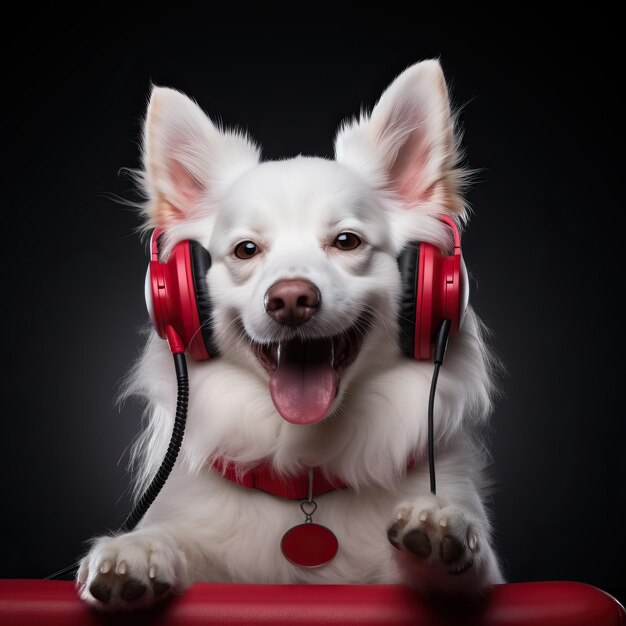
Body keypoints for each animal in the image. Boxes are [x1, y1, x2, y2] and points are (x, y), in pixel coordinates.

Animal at [77, 59, 502, 608]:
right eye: (246, 250)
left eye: (347, 241)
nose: (291, 300)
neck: (303, 478)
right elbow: (174, 545)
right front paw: (139, 549)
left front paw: (441, 530)